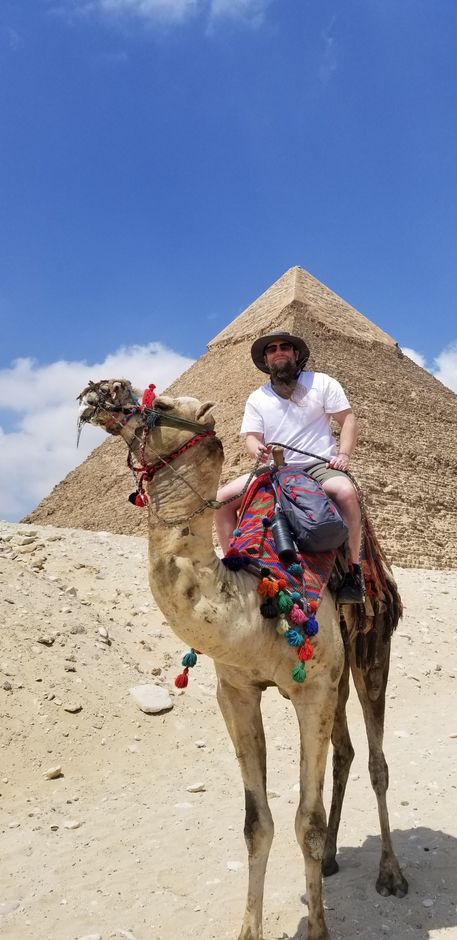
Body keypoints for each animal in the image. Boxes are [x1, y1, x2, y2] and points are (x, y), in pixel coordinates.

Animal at [77, 376, 406, 940]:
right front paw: (249, 929)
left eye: (162, 402)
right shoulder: (235, 693)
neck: (250, 597)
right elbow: (257, 825)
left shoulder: (310, 692)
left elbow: (306, 823)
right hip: (335, 678)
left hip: (369, 650)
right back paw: (335, 858)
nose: (100, 390)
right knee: (344, 753)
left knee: (377, 760)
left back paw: (391, 873)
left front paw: (318, 929)